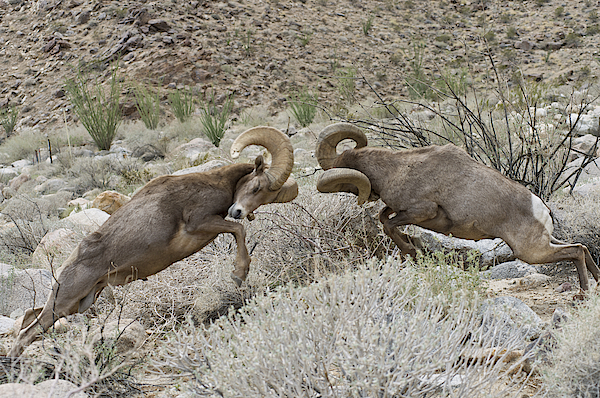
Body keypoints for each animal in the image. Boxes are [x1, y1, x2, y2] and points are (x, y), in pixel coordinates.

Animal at [9, 126, 298, 356]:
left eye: (264, 198)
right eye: (256, 187)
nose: (238, 210)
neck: (216, 184)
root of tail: (66, 266)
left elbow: (238, 230)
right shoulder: (200, 223)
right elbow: (238, 230)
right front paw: (239, 274)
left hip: (78, 304)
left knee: (30, 318)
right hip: (65, 301)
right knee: (28, 332)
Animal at [316, 124, 596, 292]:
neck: (395, 169)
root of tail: (542, 210)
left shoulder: (422, 212)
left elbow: (390, 225)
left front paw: (413, 250)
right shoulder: (400, 210)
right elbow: (384, 217)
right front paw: (414, 246)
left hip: (531, 252)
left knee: (575, 251)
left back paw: (583, 293)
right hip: (543, 244)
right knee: (581, 248)